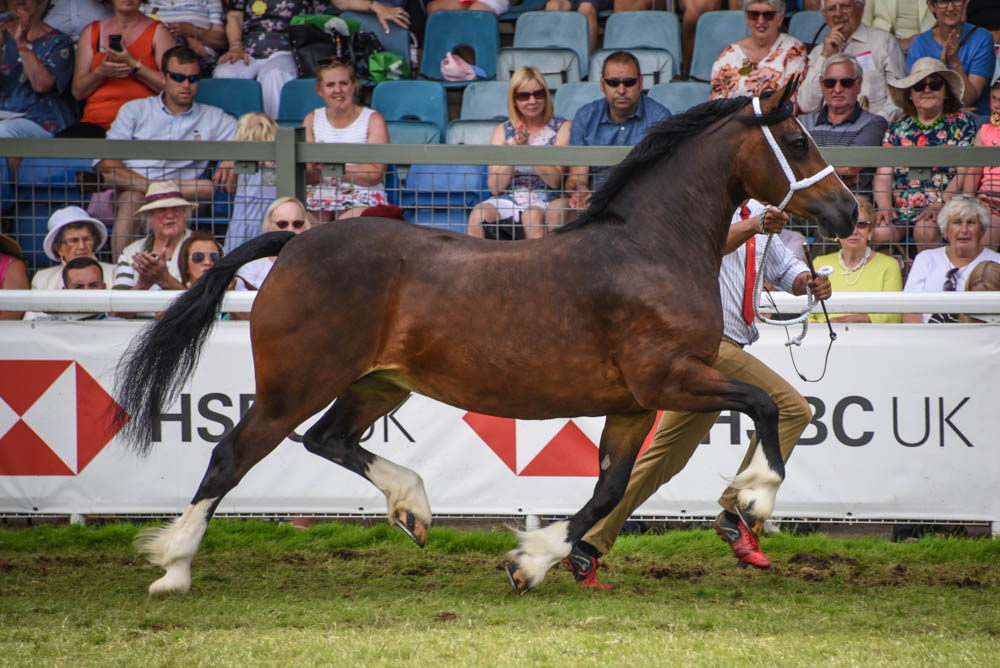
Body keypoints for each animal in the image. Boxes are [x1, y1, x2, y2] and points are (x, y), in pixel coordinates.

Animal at [113, 81, 856, 596]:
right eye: (797, 142)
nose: (848, 211)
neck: (651, 249)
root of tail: (292, 244)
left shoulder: (633, 404)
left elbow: (609, 489)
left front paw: (531, 562)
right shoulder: (672, 376)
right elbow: (764, 408)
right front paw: (756, 498)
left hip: (377, 384)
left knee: (328, 440)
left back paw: (412, 508)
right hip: (296, 383)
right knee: (232, 455)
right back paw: (173, 569)